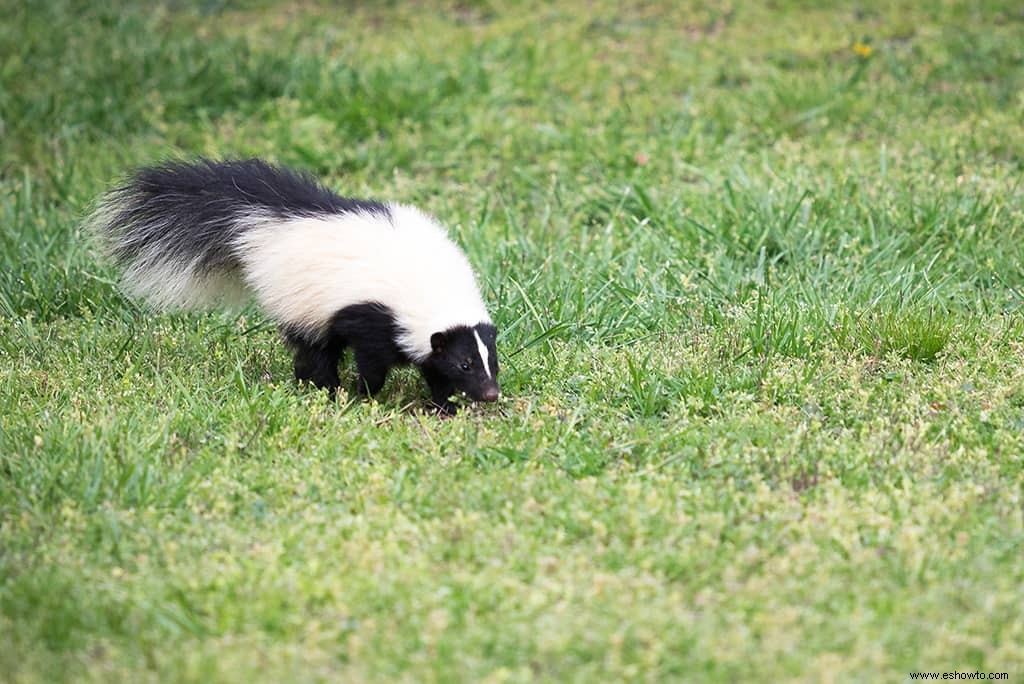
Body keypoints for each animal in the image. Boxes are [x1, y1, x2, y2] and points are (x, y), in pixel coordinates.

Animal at [90, 159, 497, 413]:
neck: (432, 288)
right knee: (314, 350)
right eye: (465, 364)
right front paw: (363, 393)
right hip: (304, 303)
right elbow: (372, 362)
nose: (492, 393)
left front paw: (444, 405)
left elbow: (432, 369)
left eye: (491, 360)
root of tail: (272, 220)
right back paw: (322, 387)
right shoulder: (374, 317)